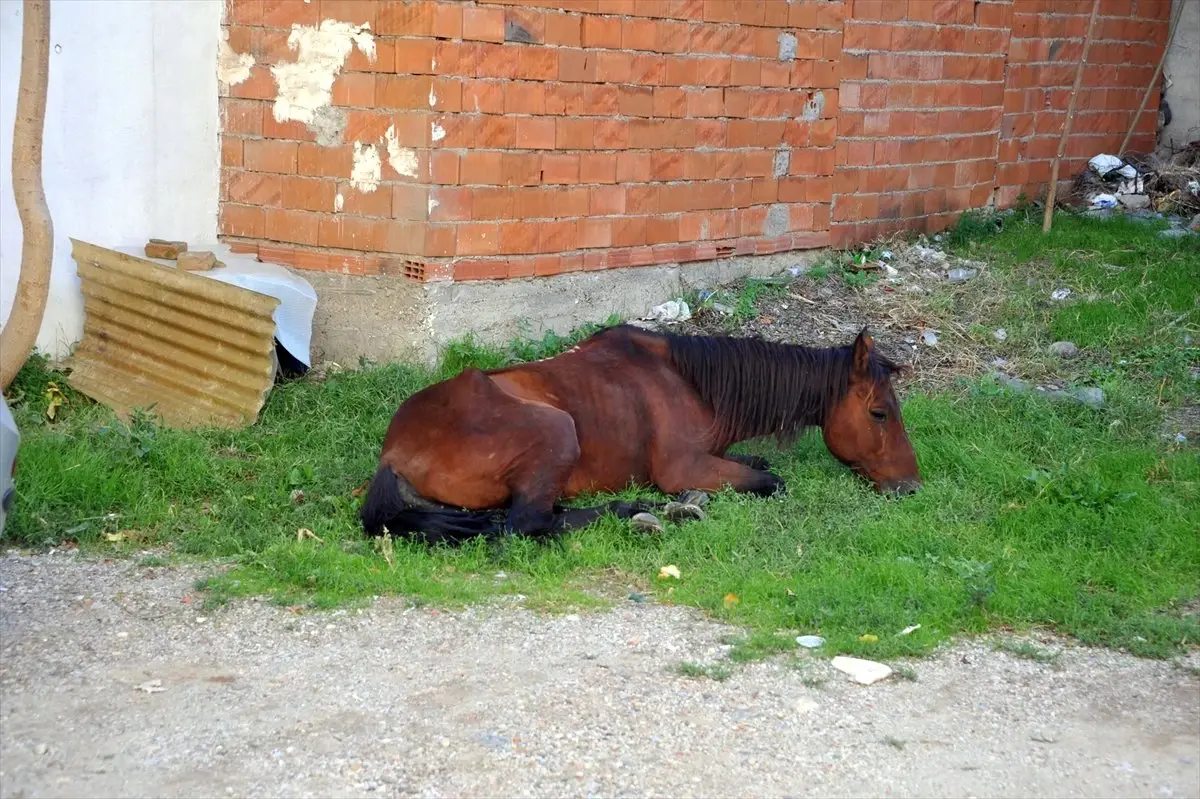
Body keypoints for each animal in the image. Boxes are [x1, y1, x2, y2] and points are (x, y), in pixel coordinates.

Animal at [355, 321, 916, 542]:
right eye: (880, 414)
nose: (910, 487)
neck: (690, 383)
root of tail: (393, 452)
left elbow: (758, 466)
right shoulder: (683, 467)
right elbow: (771, 481)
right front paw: (685, 501)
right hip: (556, 431)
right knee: (527, 524)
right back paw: (639, 511)